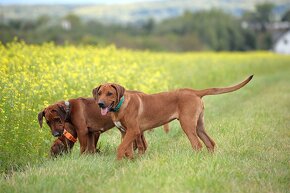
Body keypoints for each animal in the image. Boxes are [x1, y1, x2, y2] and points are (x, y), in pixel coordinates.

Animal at [93, 75, 254, 160]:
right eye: (99, 93)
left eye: (110, 94)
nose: (100, 104)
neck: (120, 105)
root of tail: (194, 92)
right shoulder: (124, 132)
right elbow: (128, 150)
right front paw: (129, 162)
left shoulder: (133, 131)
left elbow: (121, 148)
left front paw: (118, 163)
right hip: (199, 125)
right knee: (210, 142)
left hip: (187, 124)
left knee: (197, 144)